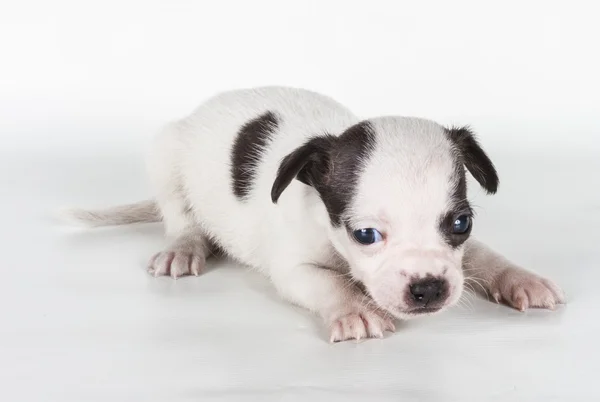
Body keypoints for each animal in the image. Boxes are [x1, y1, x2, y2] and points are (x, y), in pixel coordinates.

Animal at [64, 85, 564, 342]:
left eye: (461, 224)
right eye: (366, 235)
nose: (428, 288)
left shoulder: (460, 250)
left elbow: (482, 256)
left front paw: (519, 278)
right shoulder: (295, 269)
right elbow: (328, 283)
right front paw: (355, 308)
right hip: (165, 156)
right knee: (181, 216)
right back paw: (186, 245)